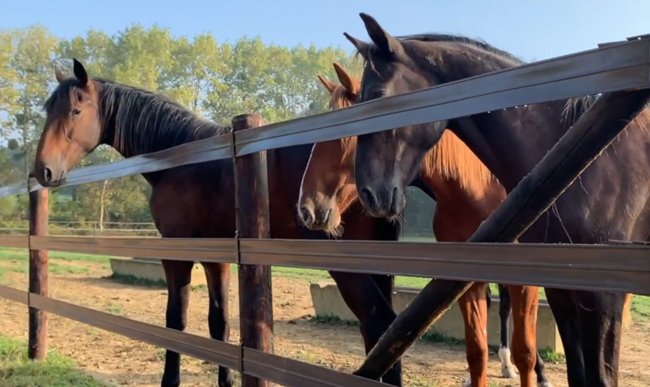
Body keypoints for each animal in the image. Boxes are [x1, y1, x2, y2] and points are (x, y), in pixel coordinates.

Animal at [34, 59, 404, 386]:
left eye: (75, 111)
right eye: (49, 110)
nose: (43, 171)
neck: (183, 159)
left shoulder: (177, 252)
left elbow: (176, 320)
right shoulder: (218, 258)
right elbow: (219, 323)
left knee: (379, 322)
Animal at [296, 63, 548, 387]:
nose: (308, 208)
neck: (476, 191)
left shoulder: (525, 283)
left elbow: (524, 351)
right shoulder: (465, 282)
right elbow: (476, 351)